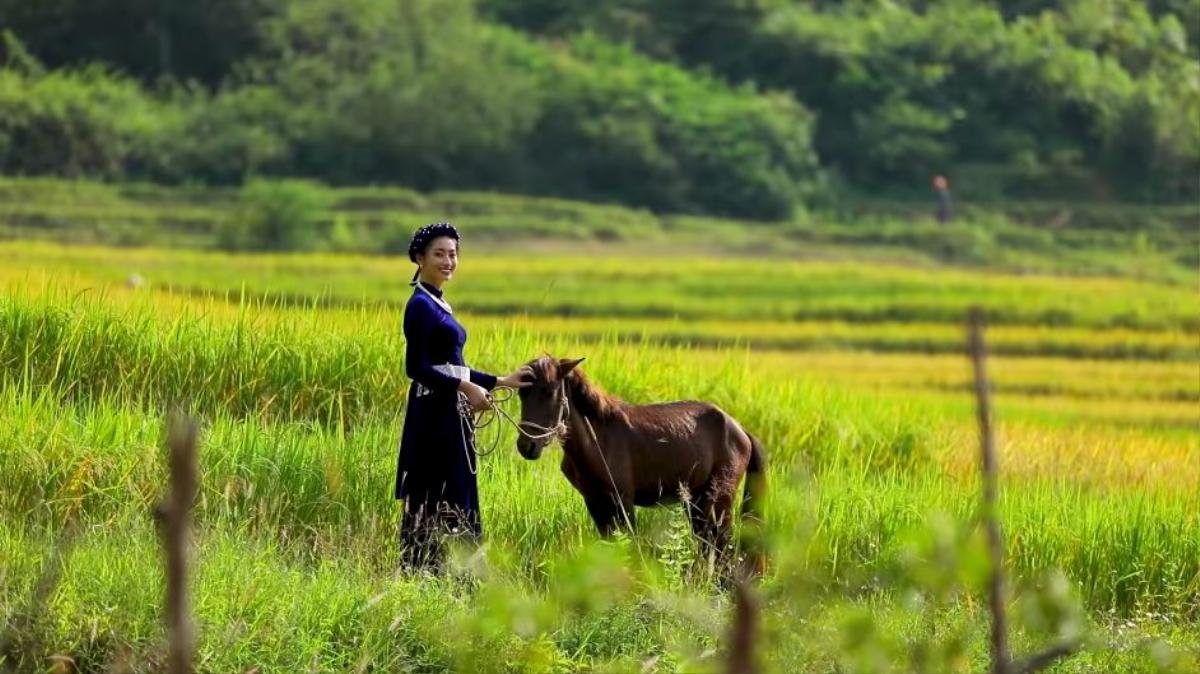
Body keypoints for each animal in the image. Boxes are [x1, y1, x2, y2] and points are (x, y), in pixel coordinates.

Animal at [511, 354, 763, 563]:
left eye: (549, 392)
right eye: (522, 393)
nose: (527, 446)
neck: (597, 440)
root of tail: (740, 430)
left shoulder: (623, 500)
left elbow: (629, 546)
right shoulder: (595, 501)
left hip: (718, 500)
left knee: (722, 546)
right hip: (697, 501)